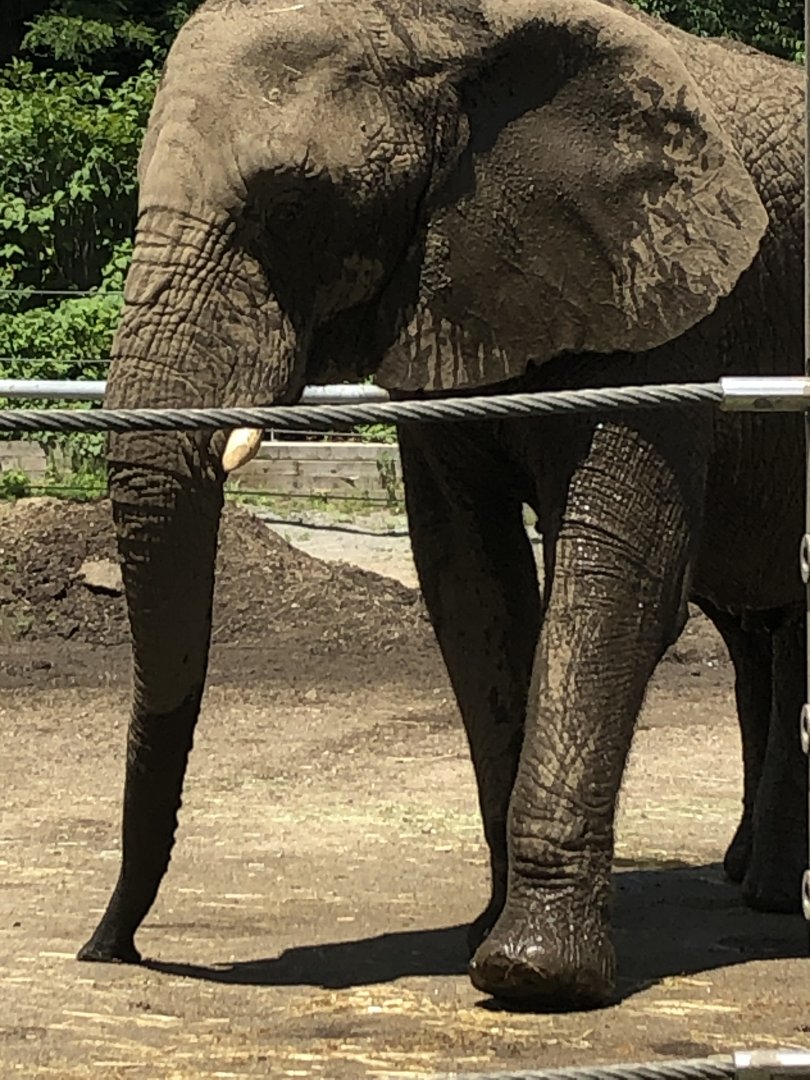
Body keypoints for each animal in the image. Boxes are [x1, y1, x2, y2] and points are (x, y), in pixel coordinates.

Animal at [77, 0, 806, 1010]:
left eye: (293, 204)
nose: (106, 950)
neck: (457, 36)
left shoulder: (670, 300)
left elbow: (618, 573)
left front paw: (532, 973)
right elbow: (472, 584)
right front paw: (481, 933)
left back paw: (776, 896)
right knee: (755, 631)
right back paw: (751, 877)